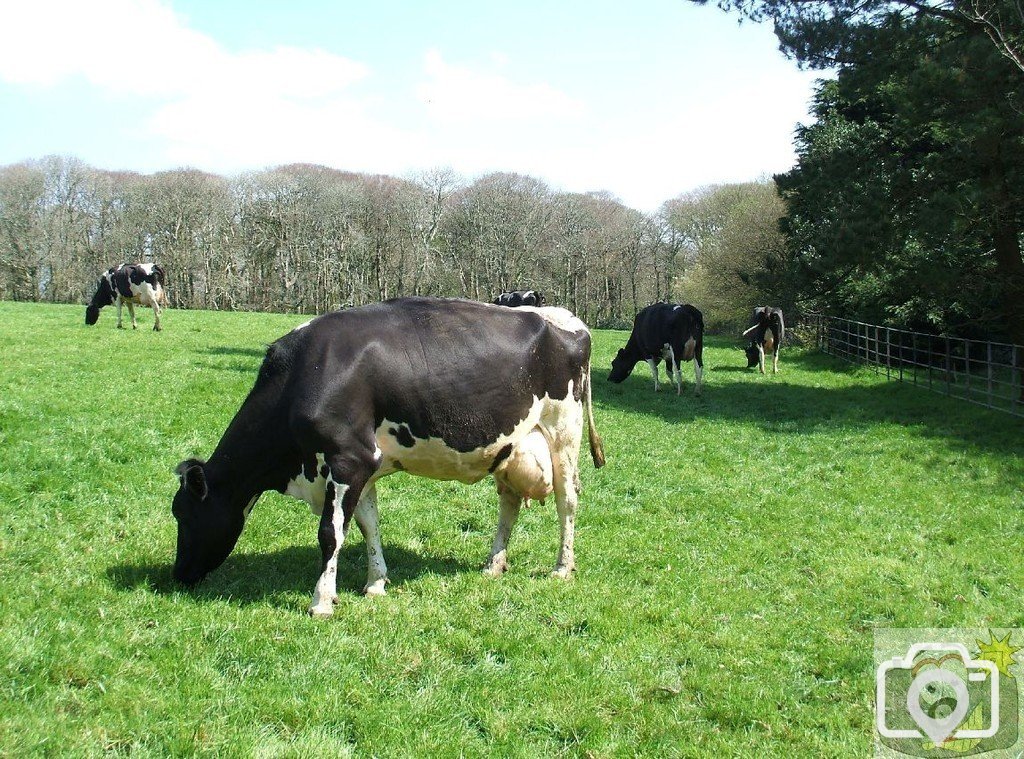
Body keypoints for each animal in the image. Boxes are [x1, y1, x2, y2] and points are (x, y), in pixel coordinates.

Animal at [171, 297, 602, 614]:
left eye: (184, 514)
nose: (176, 576)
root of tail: (564, 317)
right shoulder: (365, 466)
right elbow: (368, 525)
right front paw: (375, 582)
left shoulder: (349, 459)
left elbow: (330, 533)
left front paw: (321, 601)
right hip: (510, 445)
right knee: (509, 503)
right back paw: (493, 564)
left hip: (564, 432)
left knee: (567, 500)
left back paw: (562, 567)